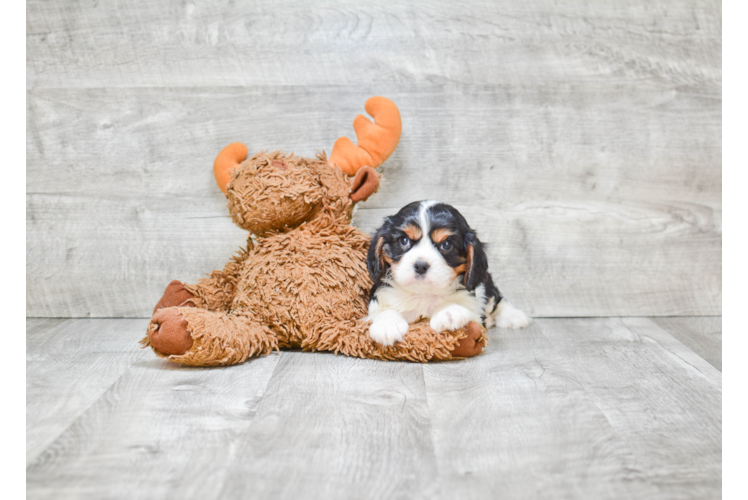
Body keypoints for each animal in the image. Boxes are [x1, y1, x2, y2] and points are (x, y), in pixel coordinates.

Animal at [366, 201, 528, 346]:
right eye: (404, 240)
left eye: (446, 244)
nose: (420, 265)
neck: (423, 293)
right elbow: (381, 311)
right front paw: (387, 324)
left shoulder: (476, 313)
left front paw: (449, 311)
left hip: (486, 281)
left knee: (496, 299)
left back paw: (514, 316)